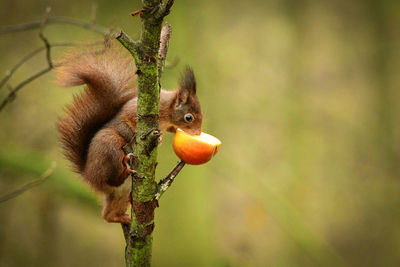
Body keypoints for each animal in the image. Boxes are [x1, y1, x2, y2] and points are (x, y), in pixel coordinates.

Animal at [56, 45, 203, 224]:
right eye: (189, 117)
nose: (198, 132)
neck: (167, 112)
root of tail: (89, 174)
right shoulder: (133, 114)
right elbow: (127, 123)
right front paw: (144, 134)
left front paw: (163, 137)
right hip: (110, 147)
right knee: (113, 177)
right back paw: (125, 166)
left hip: (122, 192)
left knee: (107, 214)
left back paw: (123, 218)